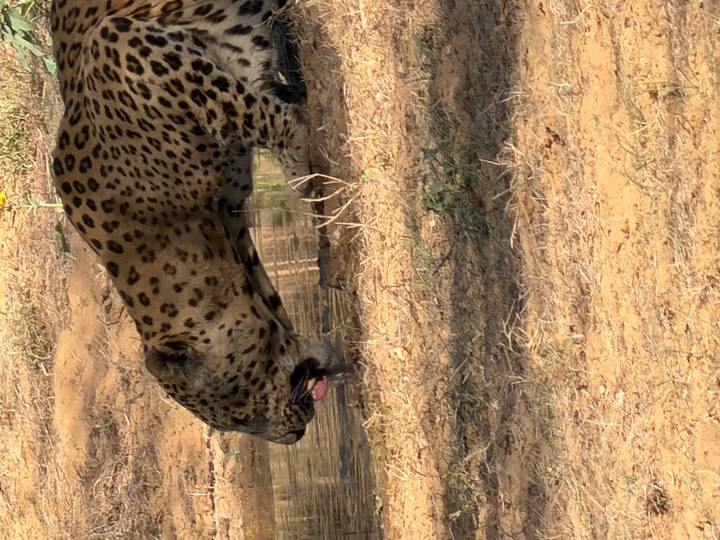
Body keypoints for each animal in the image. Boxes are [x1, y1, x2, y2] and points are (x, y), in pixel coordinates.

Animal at [50, 0, 337, 444]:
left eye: (240, 416)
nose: (292, 437)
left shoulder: (119, 46)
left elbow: (242, 106)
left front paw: (300, 156)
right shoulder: (233, 223)